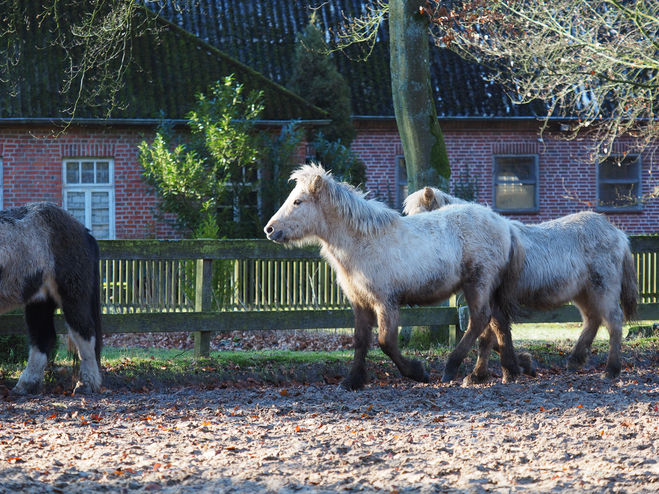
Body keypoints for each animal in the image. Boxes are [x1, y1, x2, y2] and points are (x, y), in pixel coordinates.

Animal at [0, 202, 102, 394]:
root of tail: (83, 230)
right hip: (40, 300)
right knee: (43, 338)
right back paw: (26, 385)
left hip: (72, 295)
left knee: (84, 332)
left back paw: (87, 383)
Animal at [262, 163, 524, 390]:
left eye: (298, 201)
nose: (270, 229)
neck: (364, 242)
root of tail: (504, 223)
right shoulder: (360, 302)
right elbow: (361, 340)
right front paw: (352, 381)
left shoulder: (386, 302)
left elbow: (385, 343)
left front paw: (418, 372)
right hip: (485, 287)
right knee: (497, 322)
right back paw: (504, 372)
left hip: (477, 283)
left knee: (479, 319)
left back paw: (453, 367)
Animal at [404, 186, 636, 382]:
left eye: (423, 218)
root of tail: (618, 234)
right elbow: (489, 337)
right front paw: (492, 372)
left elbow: (490, 333)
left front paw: (505, 370)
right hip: (583, 293)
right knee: (592, 320)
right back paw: (574, 361)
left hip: (602, 289)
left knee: (613, 322)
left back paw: (611, 370)